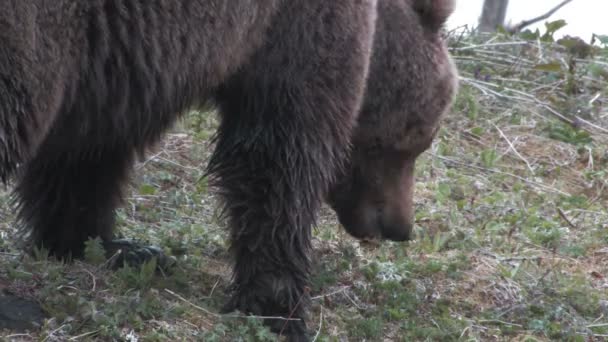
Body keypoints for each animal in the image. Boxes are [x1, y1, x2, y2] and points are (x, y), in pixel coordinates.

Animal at [0, 0, 456, 340]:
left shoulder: (116, 56)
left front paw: (108, 246)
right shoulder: (290, 29)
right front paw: (281, 311)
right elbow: (279, 155)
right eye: (419, 140)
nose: (401, 228)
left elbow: (88, 149)